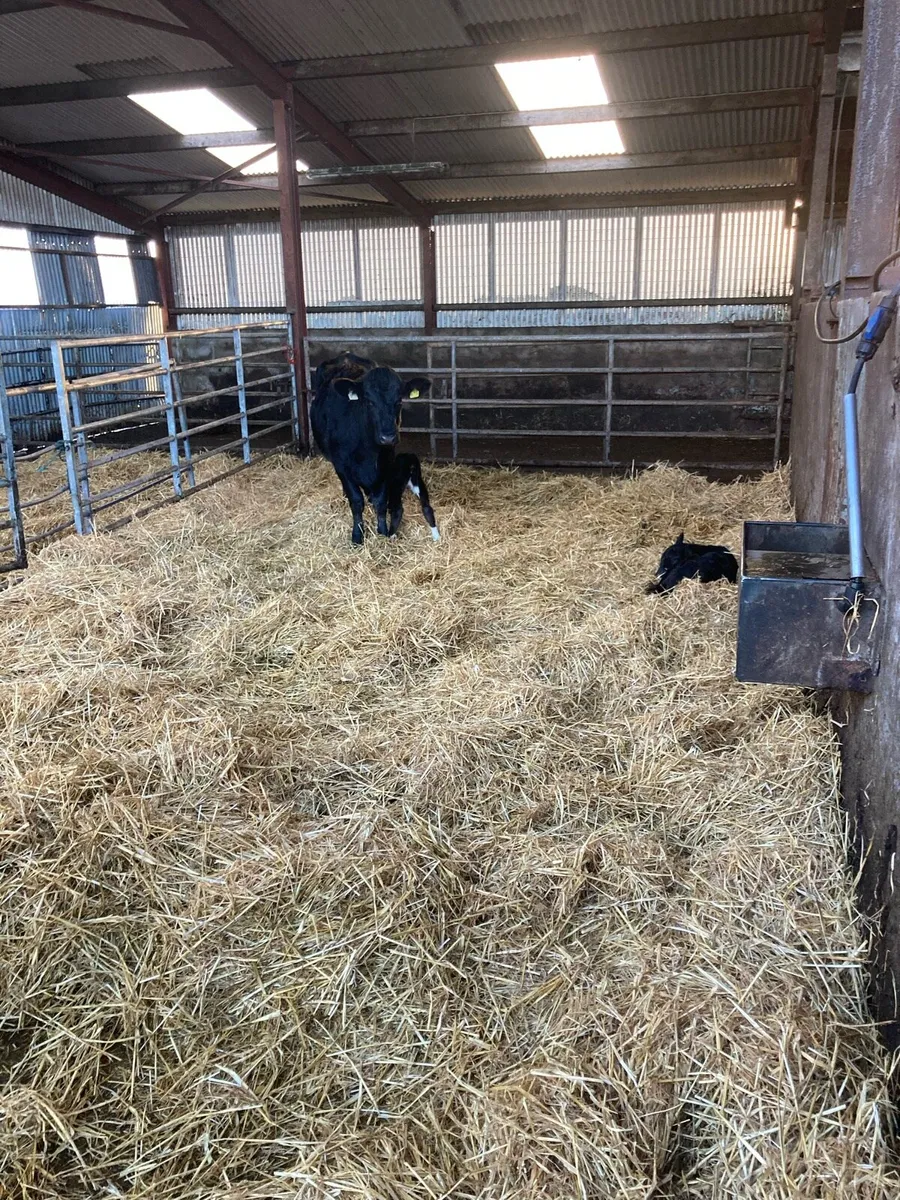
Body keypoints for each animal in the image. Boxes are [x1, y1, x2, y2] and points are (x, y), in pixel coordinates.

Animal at [310, 351, 440, 545]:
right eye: (369, 401)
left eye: (399, 400)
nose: (388, 437)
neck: (367, 451)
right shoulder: (341, 466)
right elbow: (356, 501)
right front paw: (357, 535)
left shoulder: (386, 462)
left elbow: (380, 501)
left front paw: (382, 531)